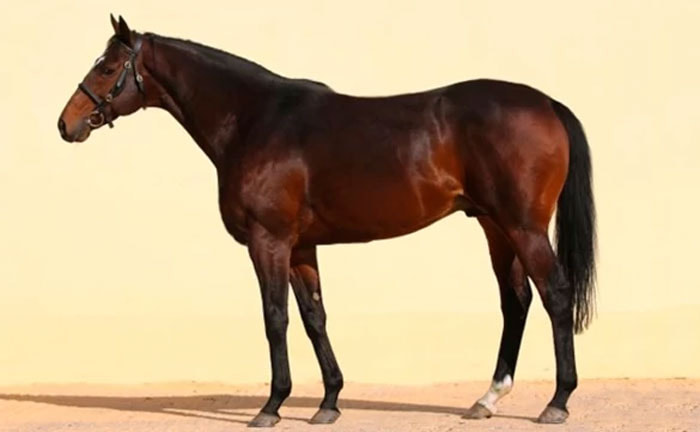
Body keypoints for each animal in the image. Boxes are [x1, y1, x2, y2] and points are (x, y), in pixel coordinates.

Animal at [58, 15, 596, 427]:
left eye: (107, 68)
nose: (66, 123)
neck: (254, 120)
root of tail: (547, 103)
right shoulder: (301, 247)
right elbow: (314, 317)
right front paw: (329, 402)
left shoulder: (268, 242)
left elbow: (275, 317)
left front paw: (272, 405)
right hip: (495, 226)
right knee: (516, 300)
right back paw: (487, 398)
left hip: (522, 227)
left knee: (555, 294)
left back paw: (558, 401)